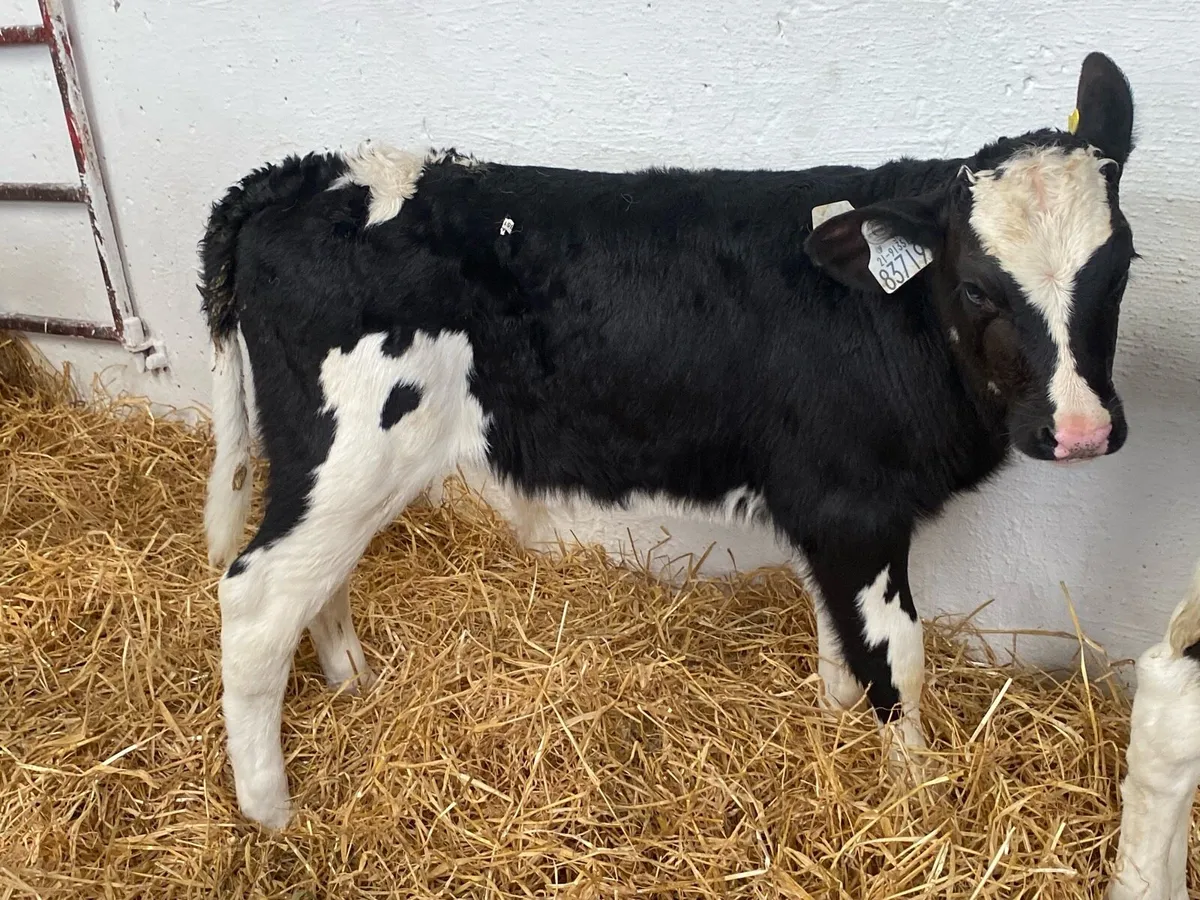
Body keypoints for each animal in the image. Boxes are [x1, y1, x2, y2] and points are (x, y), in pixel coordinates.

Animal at [200, 52, 1137, 829]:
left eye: (1120, 265)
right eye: (978, 287)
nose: (1082, 431)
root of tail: (304, 175)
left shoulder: (821, 504)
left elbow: (839, 638)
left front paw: (837, 724)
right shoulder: (856, 506)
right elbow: (895, 659)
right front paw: (921, 798)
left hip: (332, 470)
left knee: (313, 580)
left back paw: (351, 680)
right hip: (353, 451)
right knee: (255, 602)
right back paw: (272, 816)